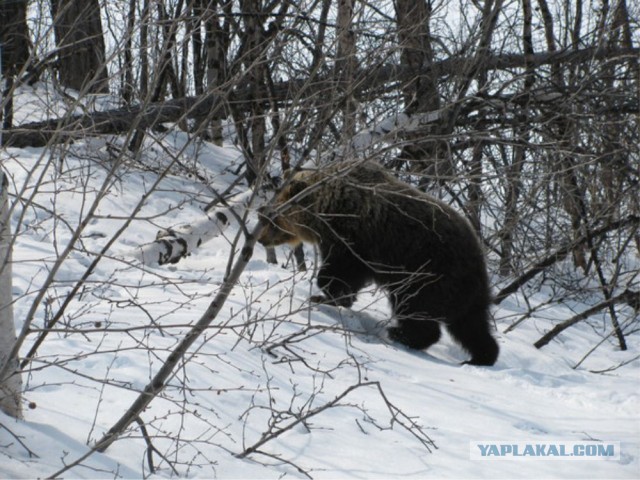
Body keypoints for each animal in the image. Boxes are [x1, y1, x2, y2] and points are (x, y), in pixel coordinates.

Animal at [258, 159, 498, 366]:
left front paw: (325, 295)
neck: (327, 210)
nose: (260, 239)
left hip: (428, 273)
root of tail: (479, 258)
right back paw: (482, 357)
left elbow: (340, 271)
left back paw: (401, 333)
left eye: (272, 218)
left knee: (416, 308)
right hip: (464, 292)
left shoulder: (355, 238)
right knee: (471, 325)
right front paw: (335, 298)